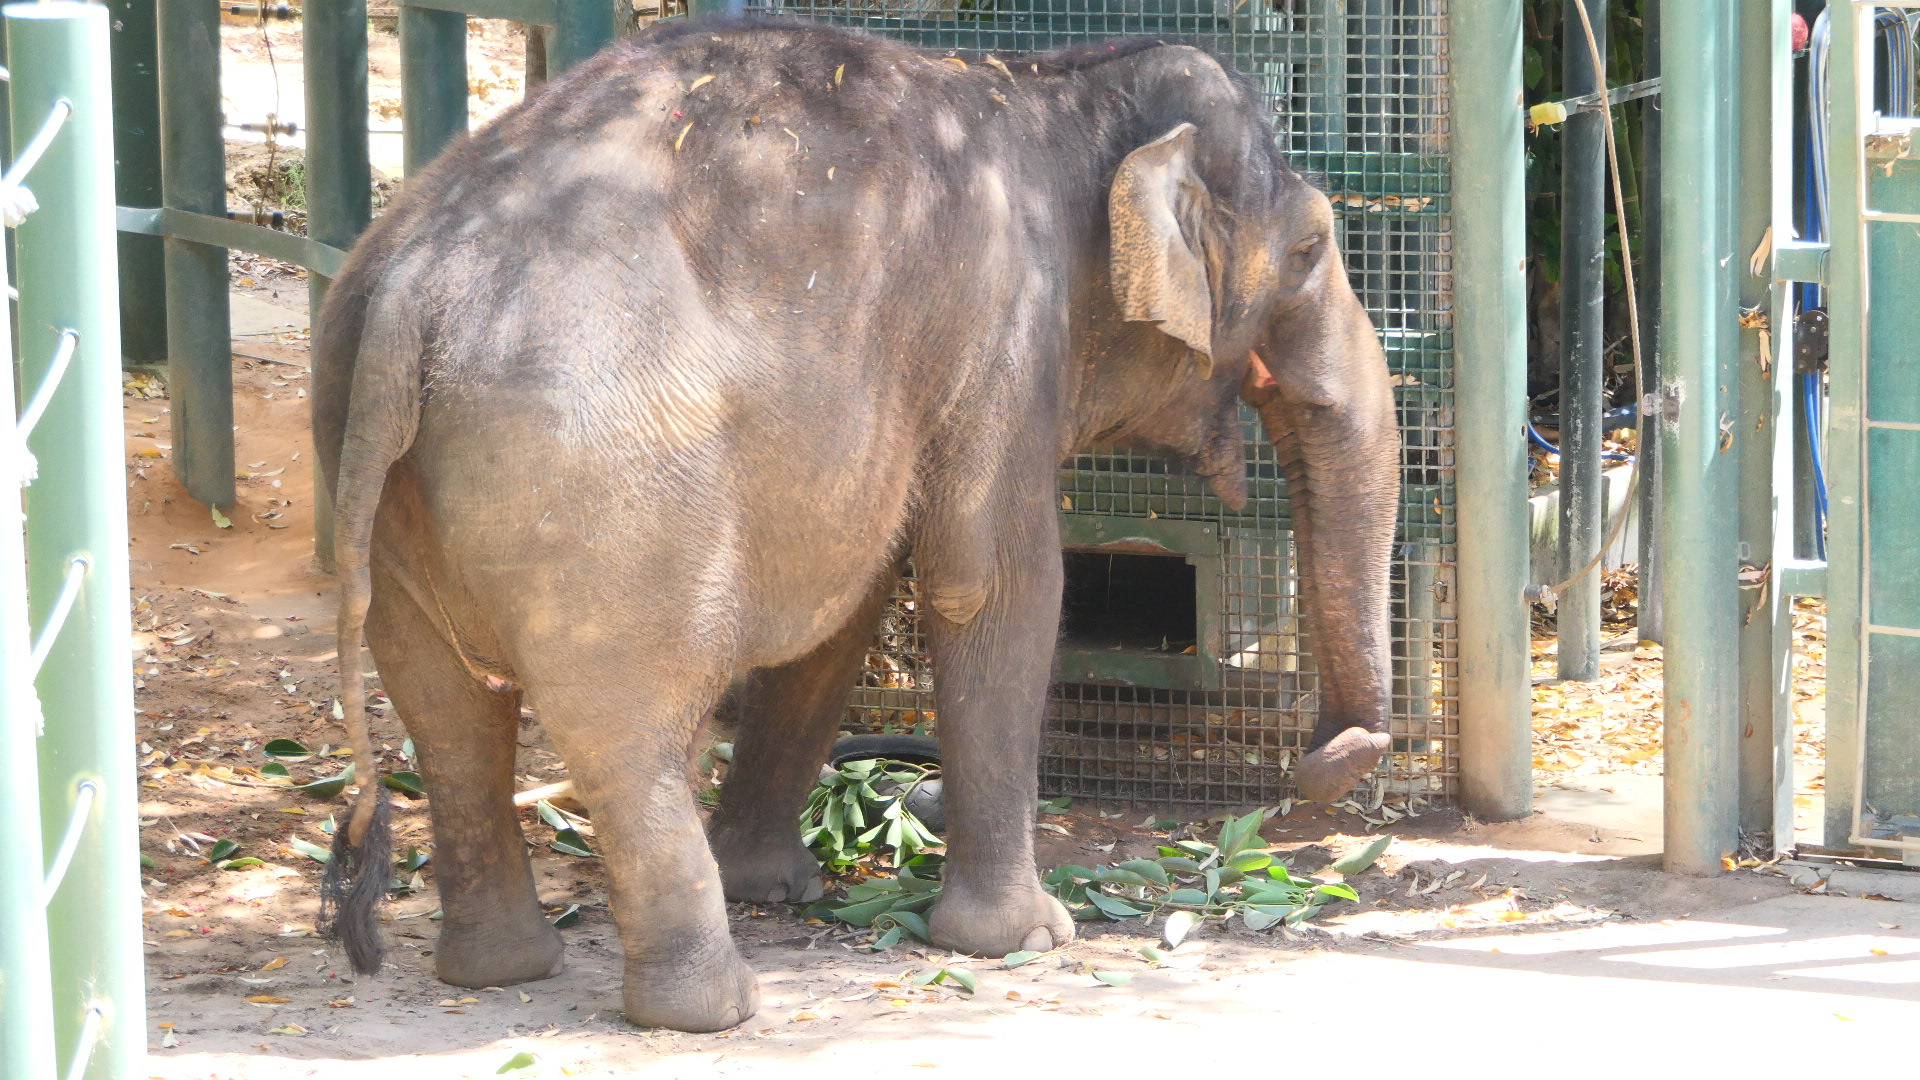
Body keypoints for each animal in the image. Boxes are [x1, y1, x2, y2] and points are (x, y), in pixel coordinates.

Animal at [312, 17, 1399, 1034]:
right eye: (1309, 250)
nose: (1324, 762)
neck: (1052, 86)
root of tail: (412, 288)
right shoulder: (1002, 338)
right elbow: (994, 584)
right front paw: (1031, 937)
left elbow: (851, 598)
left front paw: (772, 883)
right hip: (602, 497)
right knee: (625, 729)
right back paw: (714, 1007)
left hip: (388, 483)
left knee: (448, 712)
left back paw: (499, 969)